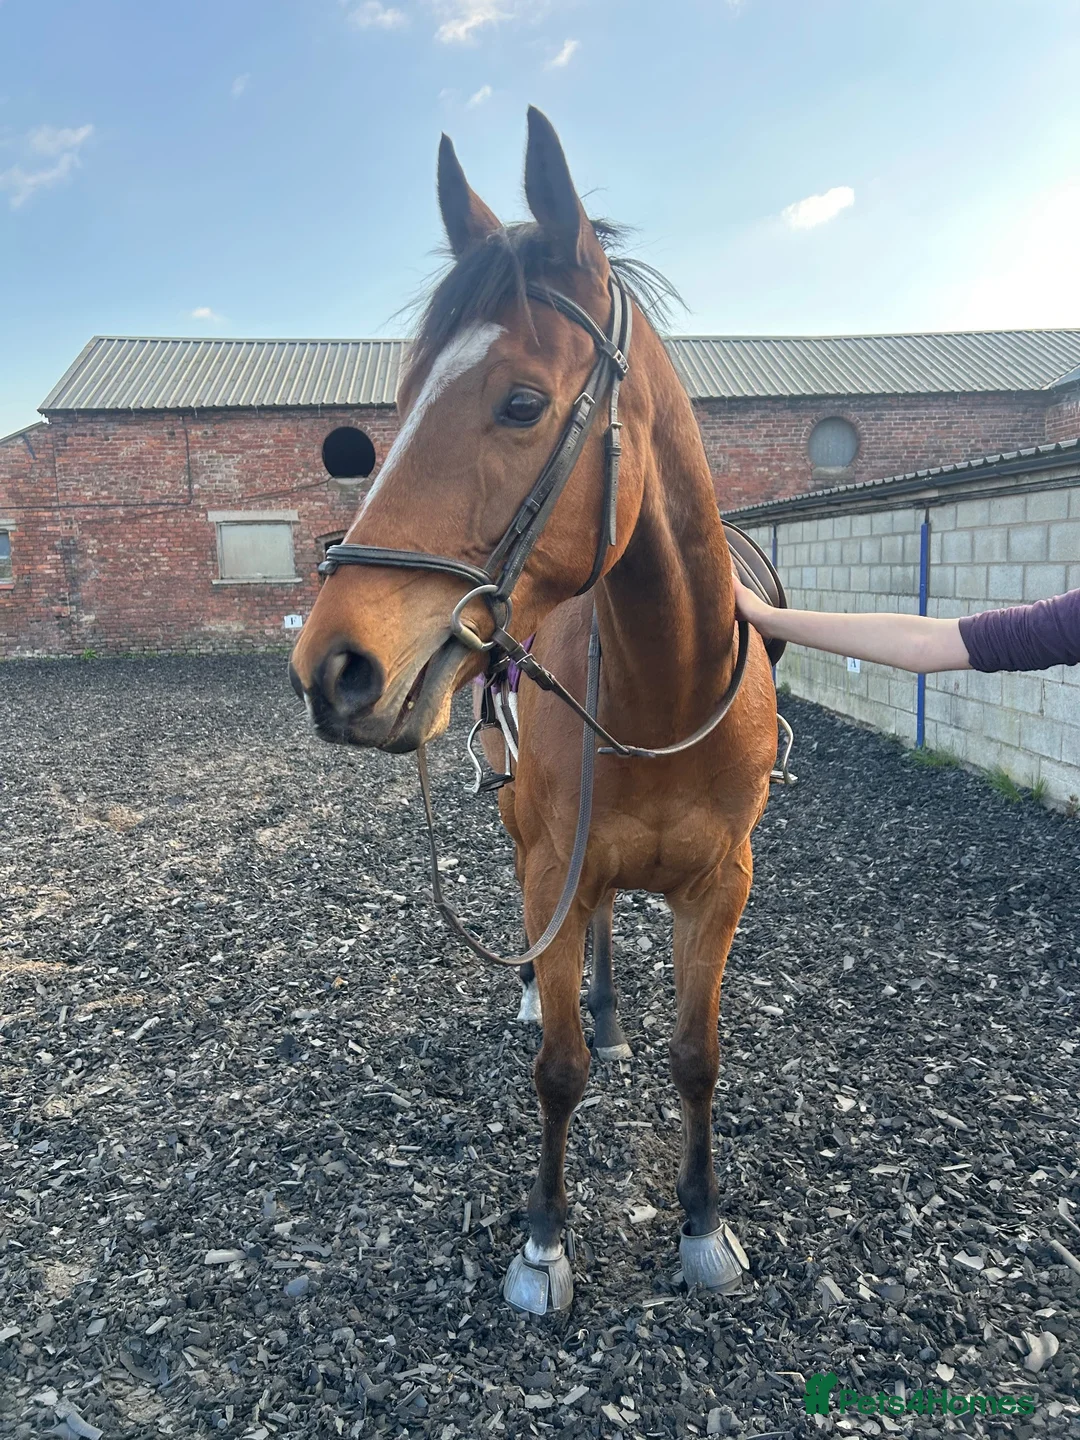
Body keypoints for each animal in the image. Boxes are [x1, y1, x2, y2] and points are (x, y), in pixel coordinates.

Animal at [289, 107, 778, 1313]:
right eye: (404, 398)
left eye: (520, 403)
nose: (334, 667)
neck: (661, 691)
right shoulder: (556, 859)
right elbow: (558, 1068)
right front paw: (543, 1241)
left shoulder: (723, 884)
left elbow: (697, 1058)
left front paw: (703, 1226)